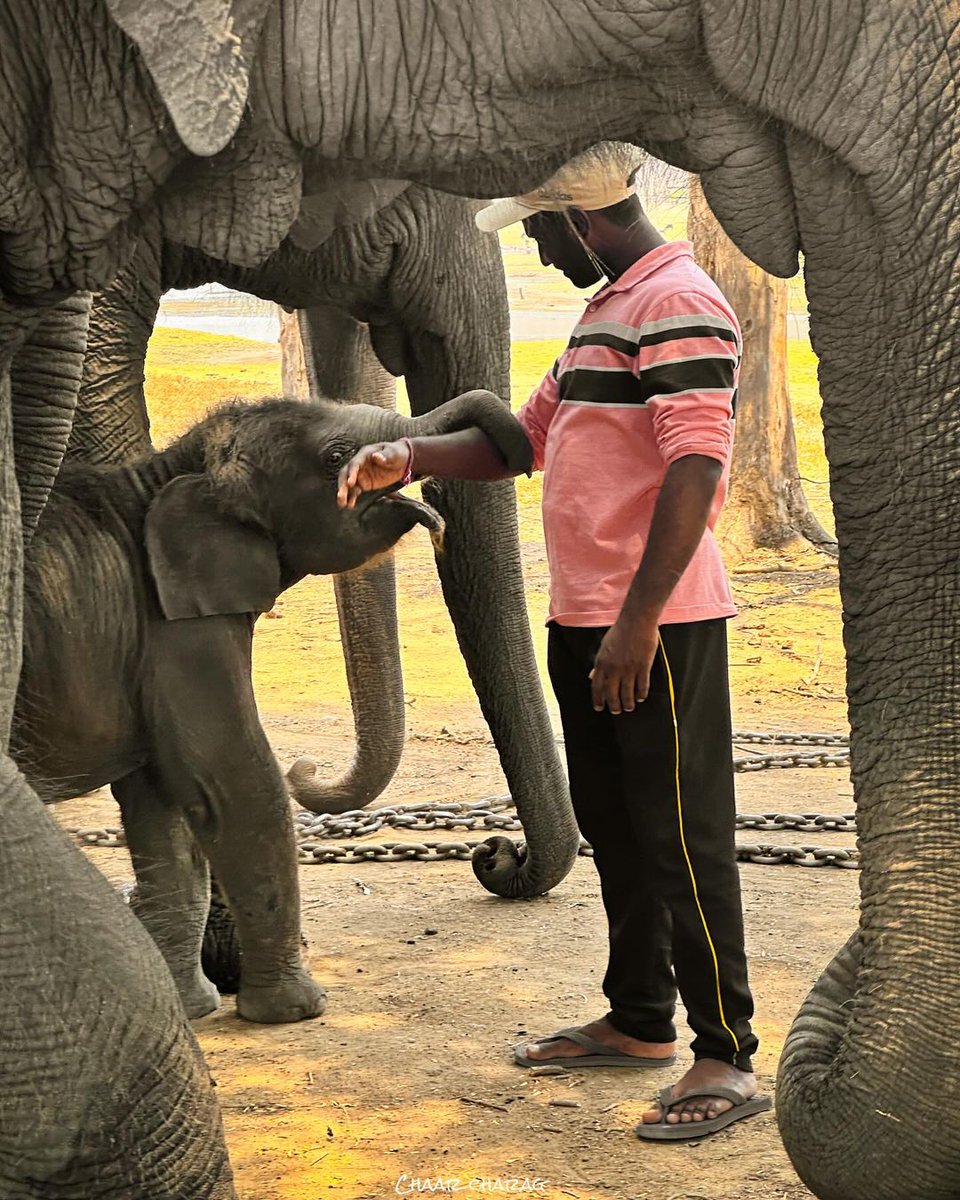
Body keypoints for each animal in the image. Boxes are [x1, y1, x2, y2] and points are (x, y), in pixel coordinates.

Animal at [13, 391, 532, 1022]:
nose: (495, 852)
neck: (169, 471)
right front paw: (296, 1010)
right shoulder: (177, 628)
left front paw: (194, 1008)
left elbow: (164, 806)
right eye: (334, 455)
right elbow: (231, 780)